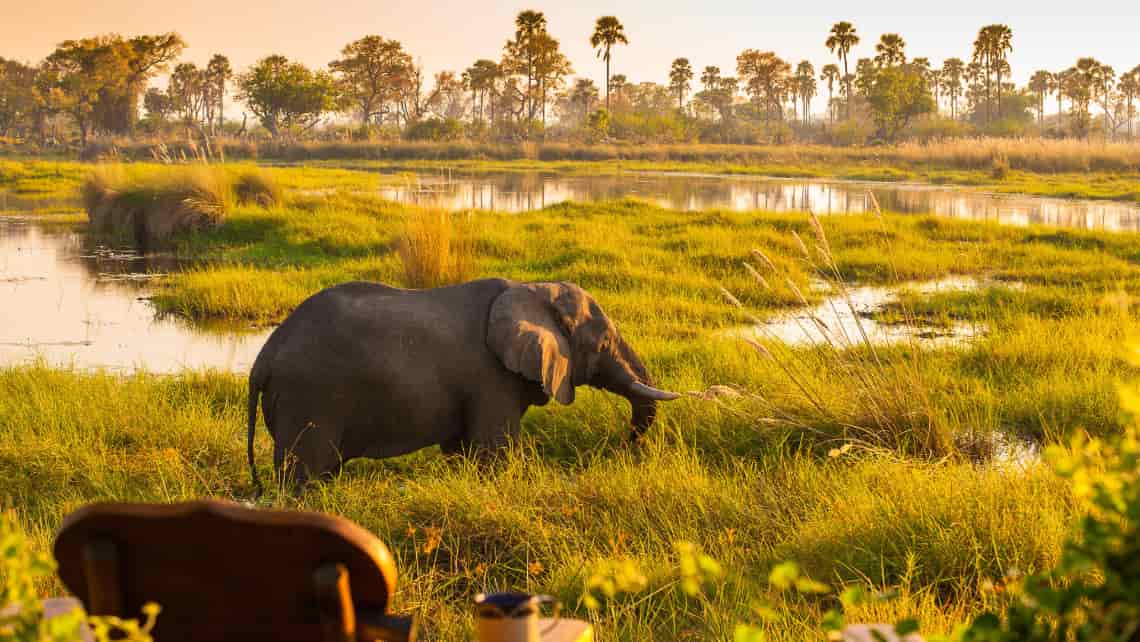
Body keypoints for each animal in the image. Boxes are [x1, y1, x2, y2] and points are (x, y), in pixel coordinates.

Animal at [247, 275, 674, 492]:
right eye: (602, 345)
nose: (626, 445)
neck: (531, 288)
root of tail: (263, 357)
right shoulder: (490, 377)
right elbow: (495, 450)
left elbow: (462, 449)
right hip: (308, 397)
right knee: (304, 477)